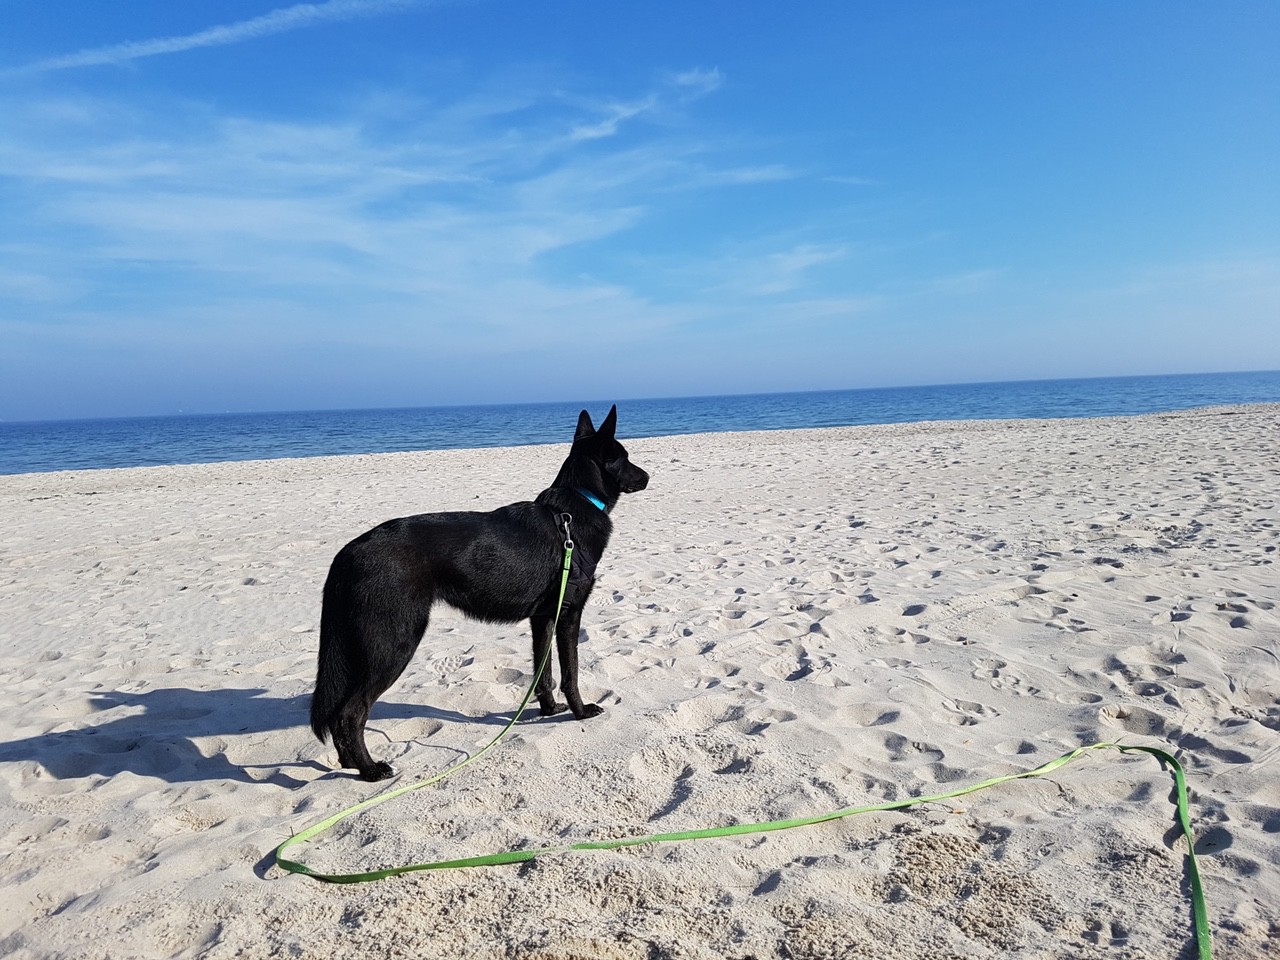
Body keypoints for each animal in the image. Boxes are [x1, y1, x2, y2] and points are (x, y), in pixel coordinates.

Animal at [310, 405, 649, 781]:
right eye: (625, 458)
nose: (648, 477)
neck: (573, 510)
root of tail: (348, 552)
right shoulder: (568, 615)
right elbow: (570, 672)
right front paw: (580, 711)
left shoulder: (543, 619)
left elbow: (543, 674)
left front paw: (549, 710)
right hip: (392, 645)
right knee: (350, 713)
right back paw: (369, 769)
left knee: (340, 713)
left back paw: (350, 764)